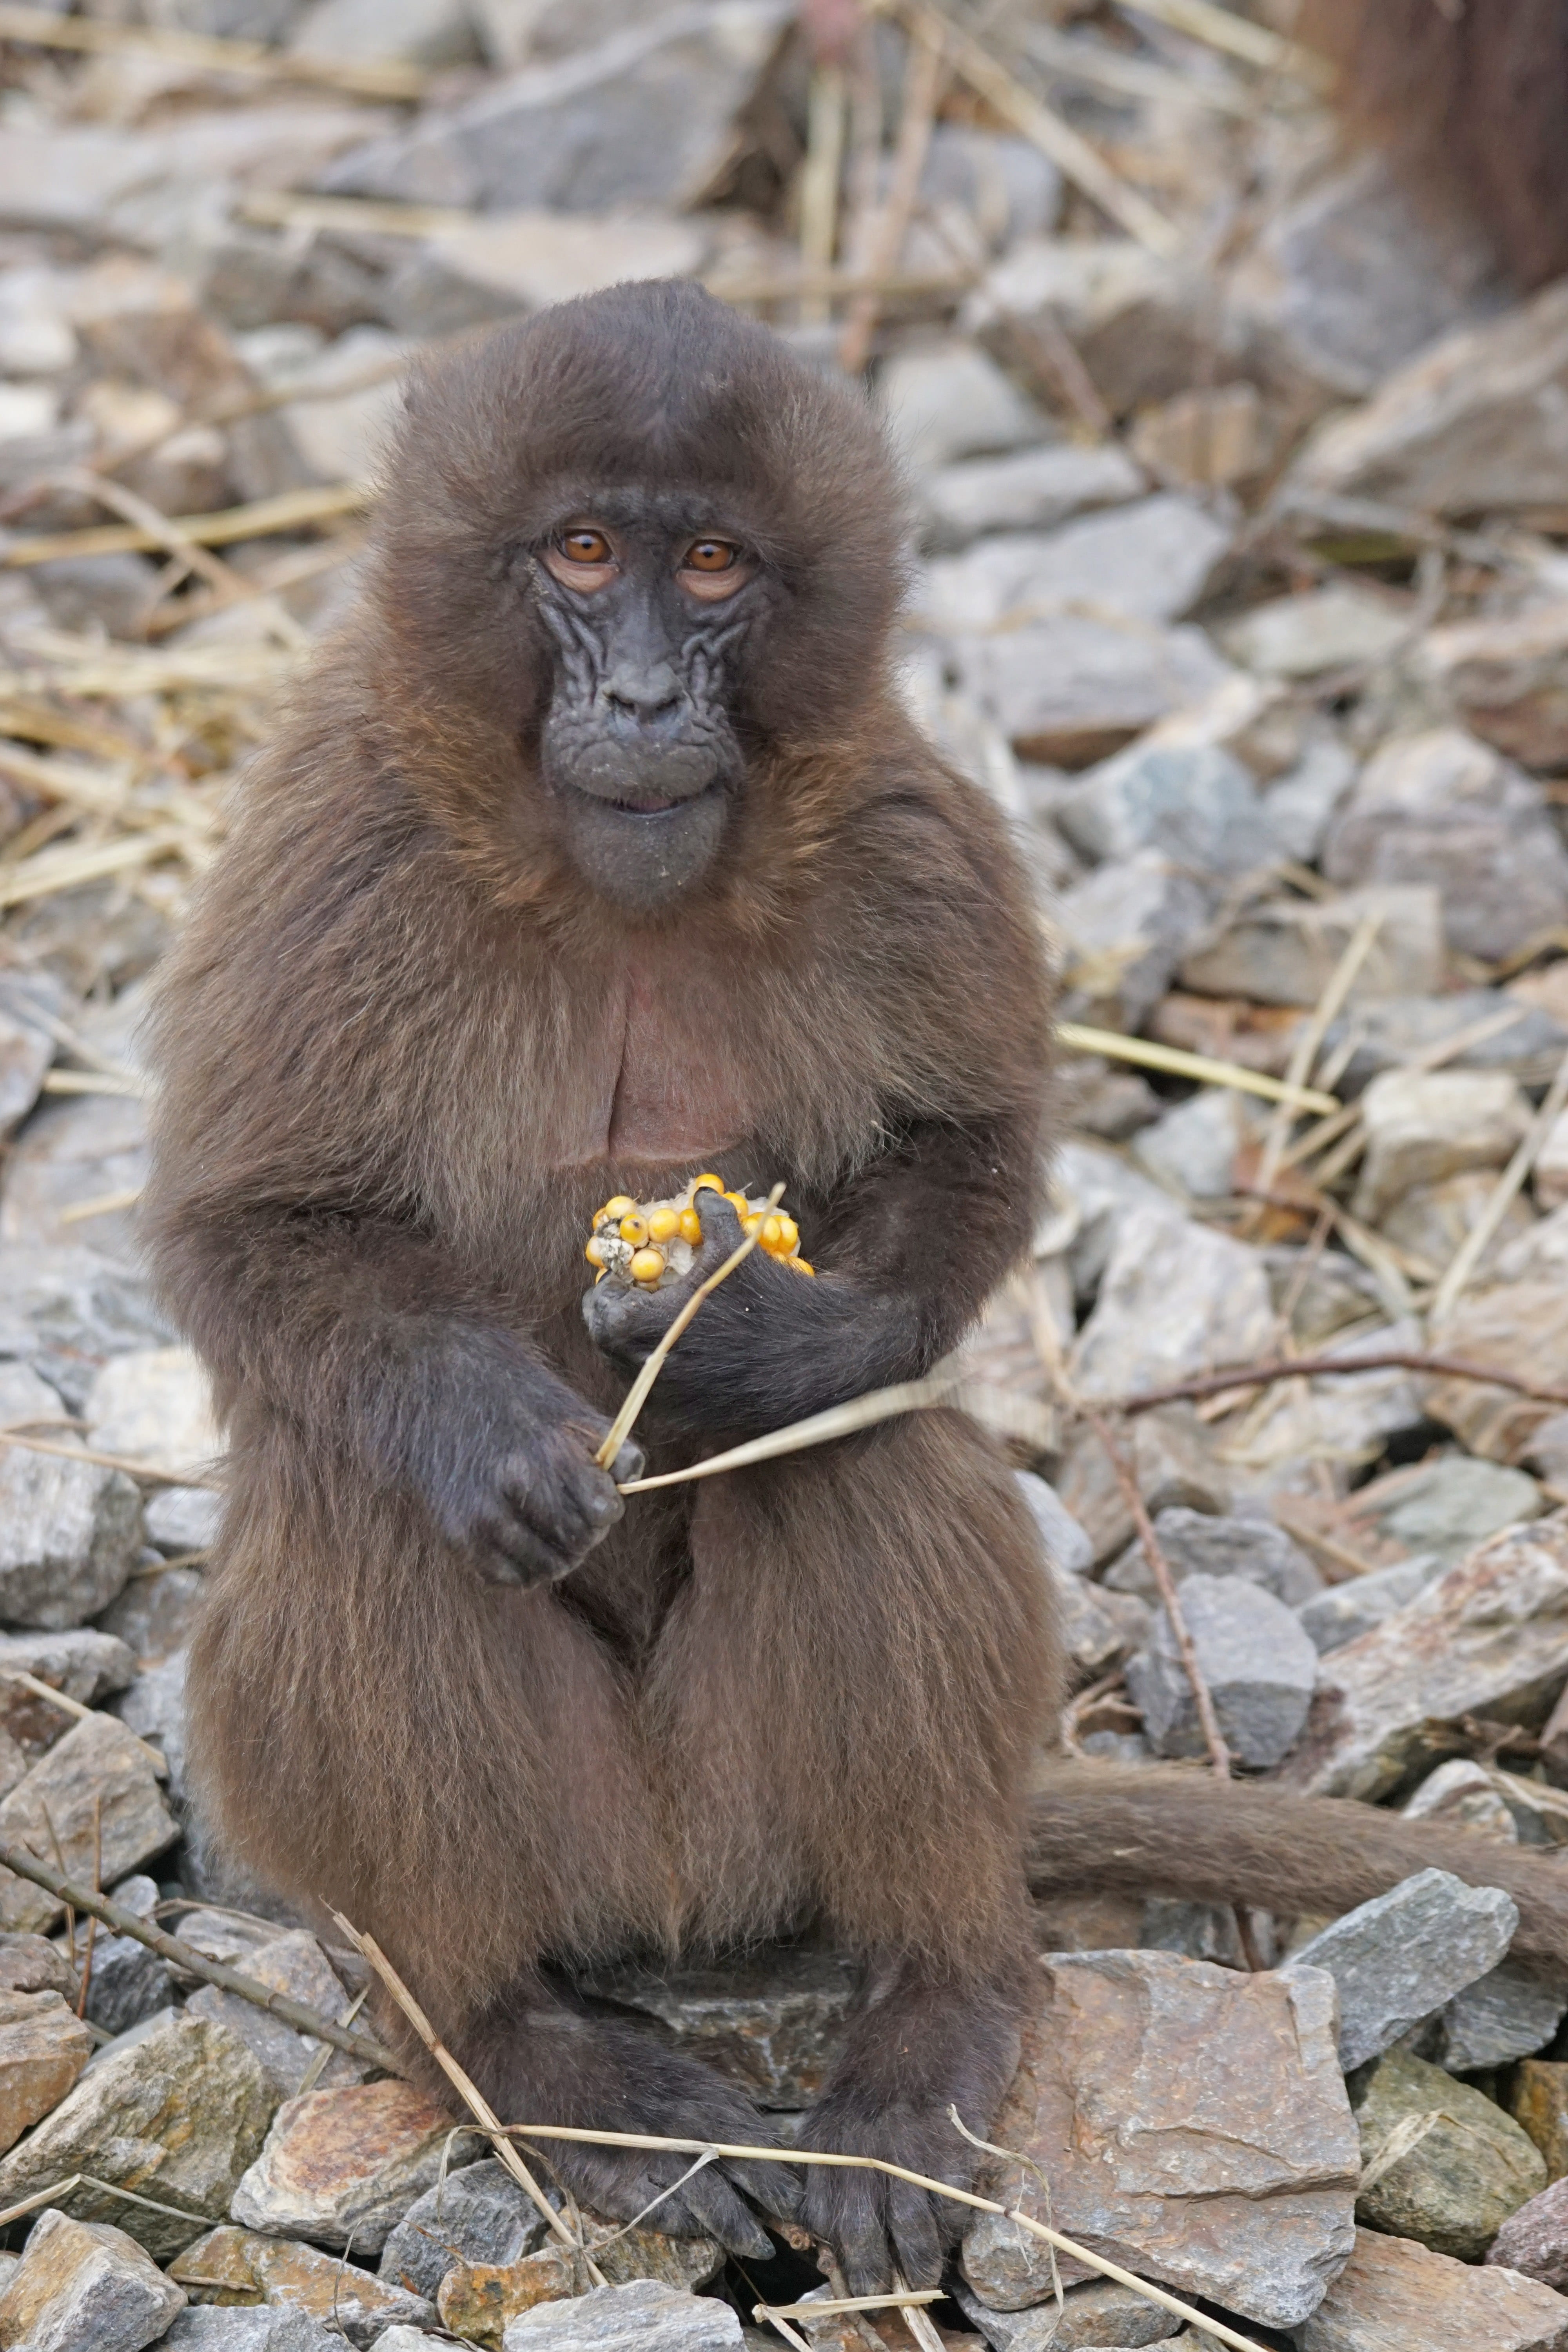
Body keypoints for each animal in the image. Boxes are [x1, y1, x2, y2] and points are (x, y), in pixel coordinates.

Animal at [144, 279, 1568, 2299]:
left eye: (714, 566)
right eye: (584, 554)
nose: (642, 698)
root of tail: (673, 1888)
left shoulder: (901, 823)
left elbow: (961, 1168)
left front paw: (762, 1345)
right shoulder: (343, 834)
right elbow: (252, 1229)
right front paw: (499, 1440)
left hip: (748, 1813)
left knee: (861, 1462)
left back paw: (925, 2004)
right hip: (573, 1837)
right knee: (367, 1502)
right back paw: (526, 2040)